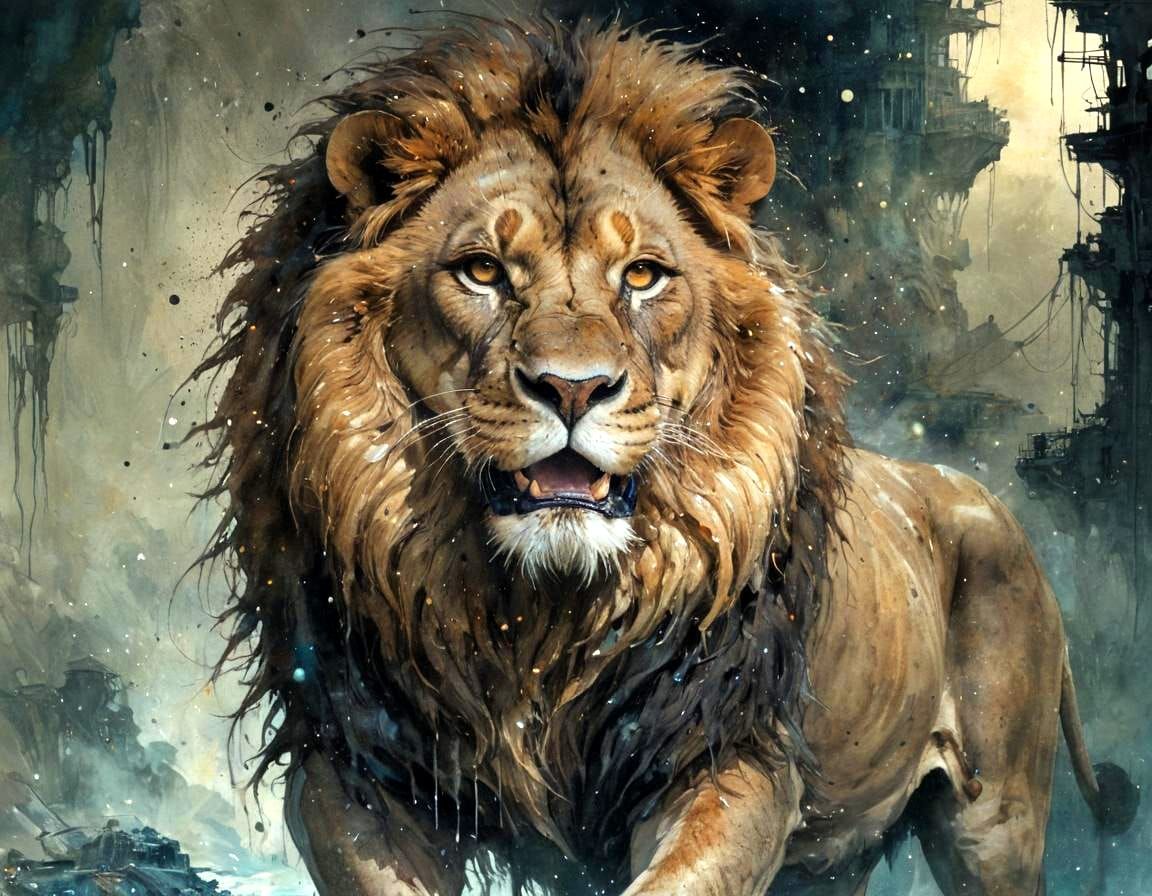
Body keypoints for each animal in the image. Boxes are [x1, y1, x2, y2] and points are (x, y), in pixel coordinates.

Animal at [197, 17, 1138, 896]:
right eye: (482, 271)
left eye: (644, 276)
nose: (572, 388)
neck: (538, 618)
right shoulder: (350, 768)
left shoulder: (727, 757)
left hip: (993, 821)